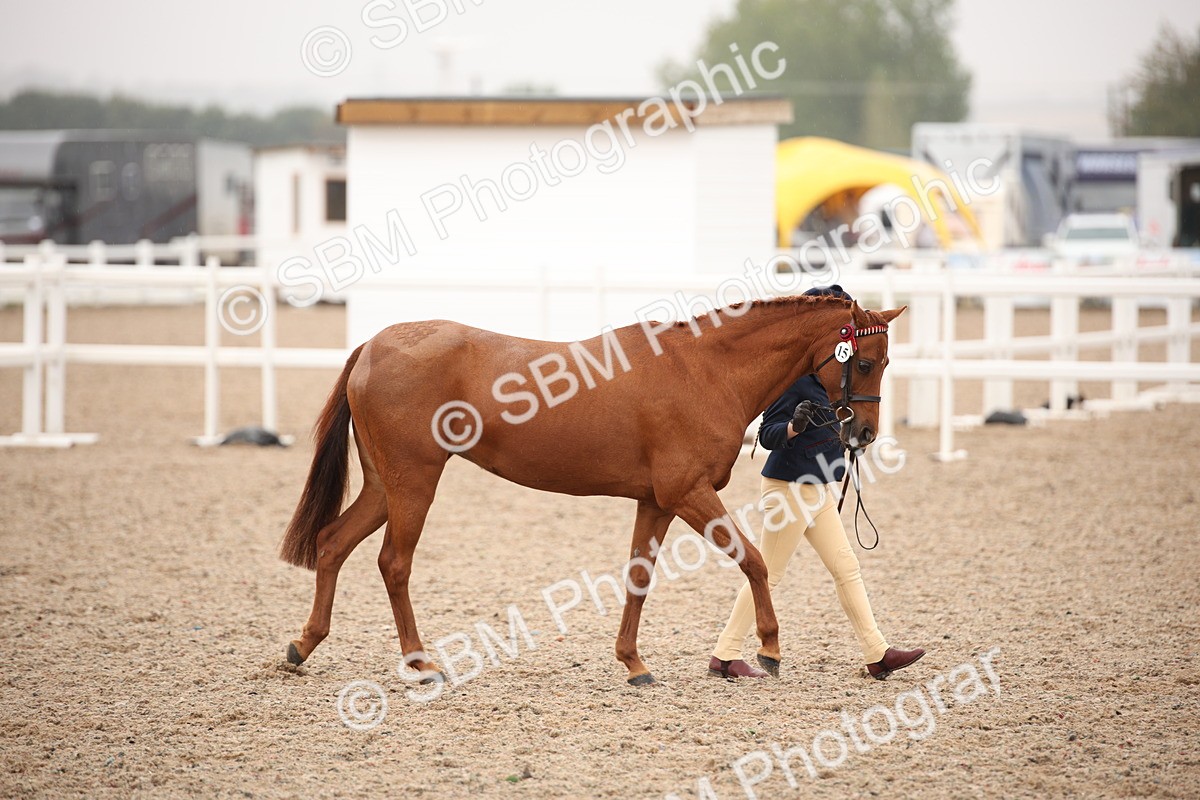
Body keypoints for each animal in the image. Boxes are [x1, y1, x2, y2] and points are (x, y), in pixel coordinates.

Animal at [279, 294, 905, 686]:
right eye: (865, 362)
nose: (864, 433)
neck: (704, 370)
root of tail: (375, 345)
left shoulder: (656, 502)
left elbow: (638, 578)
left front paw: (633, 663)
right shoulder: (689, 493)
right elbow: (753, 560)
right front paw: (769, 649)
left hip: (384, 485)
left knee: (333, 543)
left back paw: (302, 646)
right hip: (414, 483)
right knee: (394, 563)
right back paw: (420, 663)